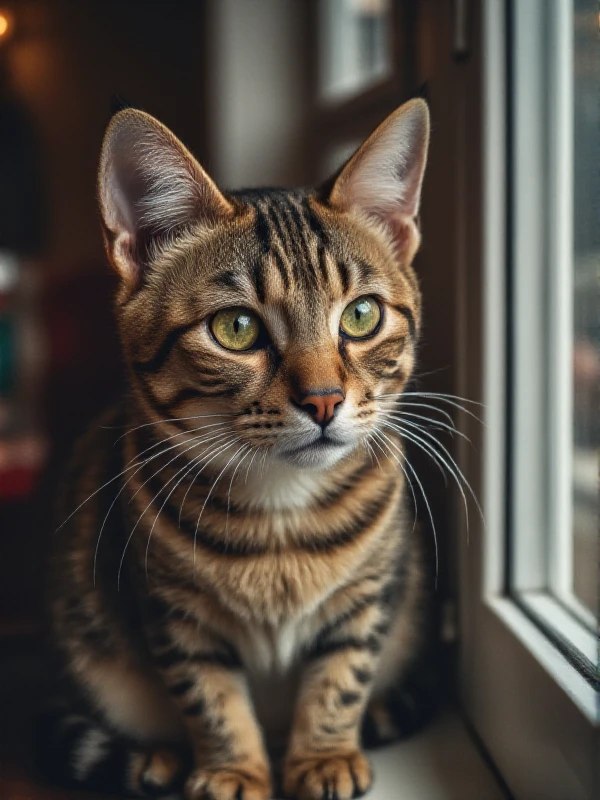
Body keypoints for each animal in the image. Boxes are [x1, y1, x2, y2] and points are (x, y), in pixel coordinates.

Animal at [42, 100, 436, 800]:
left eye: (361, 315)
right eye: (236, 328)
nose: (325, 400)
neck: (282, 509)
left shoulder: (369, 594)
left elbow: (343, 677)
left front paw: (323, 757)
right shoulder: (172, 611)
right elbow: (209, 697)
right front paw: (233, 771)